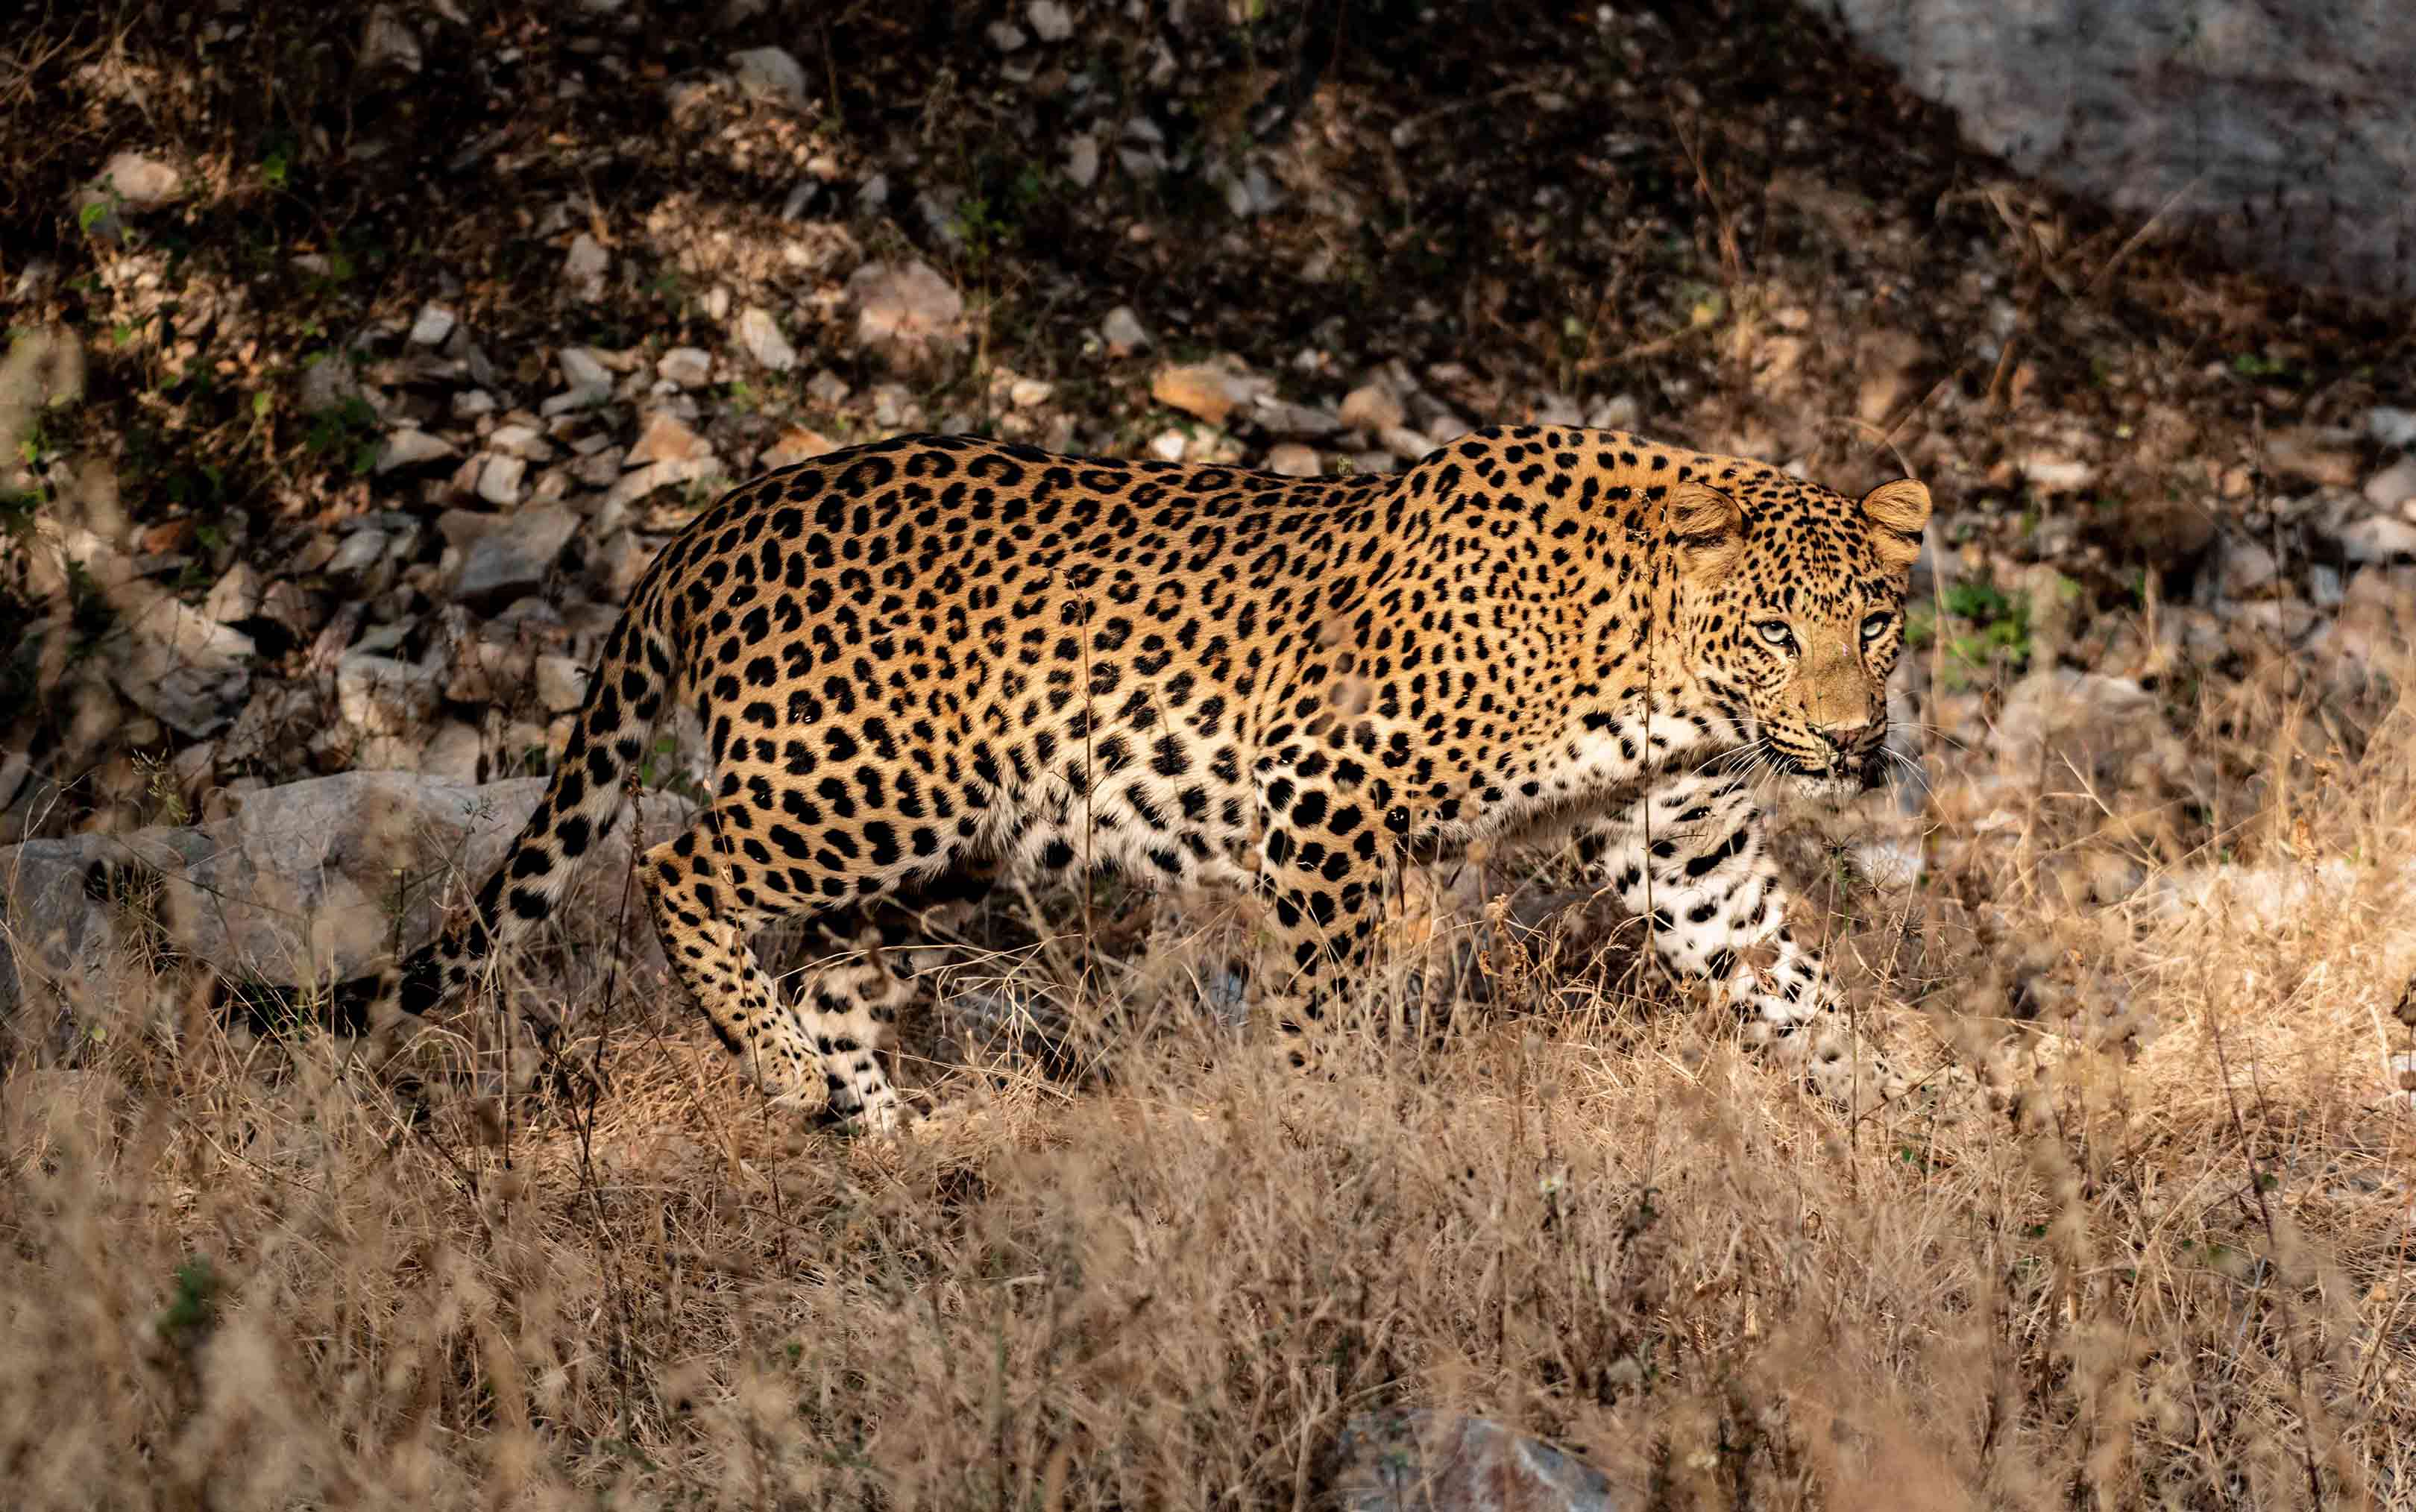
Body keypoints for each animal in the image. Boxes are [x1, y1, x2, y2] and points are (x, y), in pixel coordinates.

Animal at [382, 426, 1935, 1131]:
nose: (1854, 739)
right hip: (874, 786)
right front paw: (1319, 1136)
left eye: (1872, 620)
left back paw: (891, 1148)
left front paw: (1900, 1128)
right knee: (677, 865)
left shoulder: (1689, 849)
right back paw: (776, 1068)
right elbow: (1318, 1003)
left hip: (940, 861)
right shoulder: (1325, 788)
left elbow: (1795, 985)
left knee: (829, 973)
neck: (1664, 673)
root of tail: (713, 519)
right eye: (1777, 627)